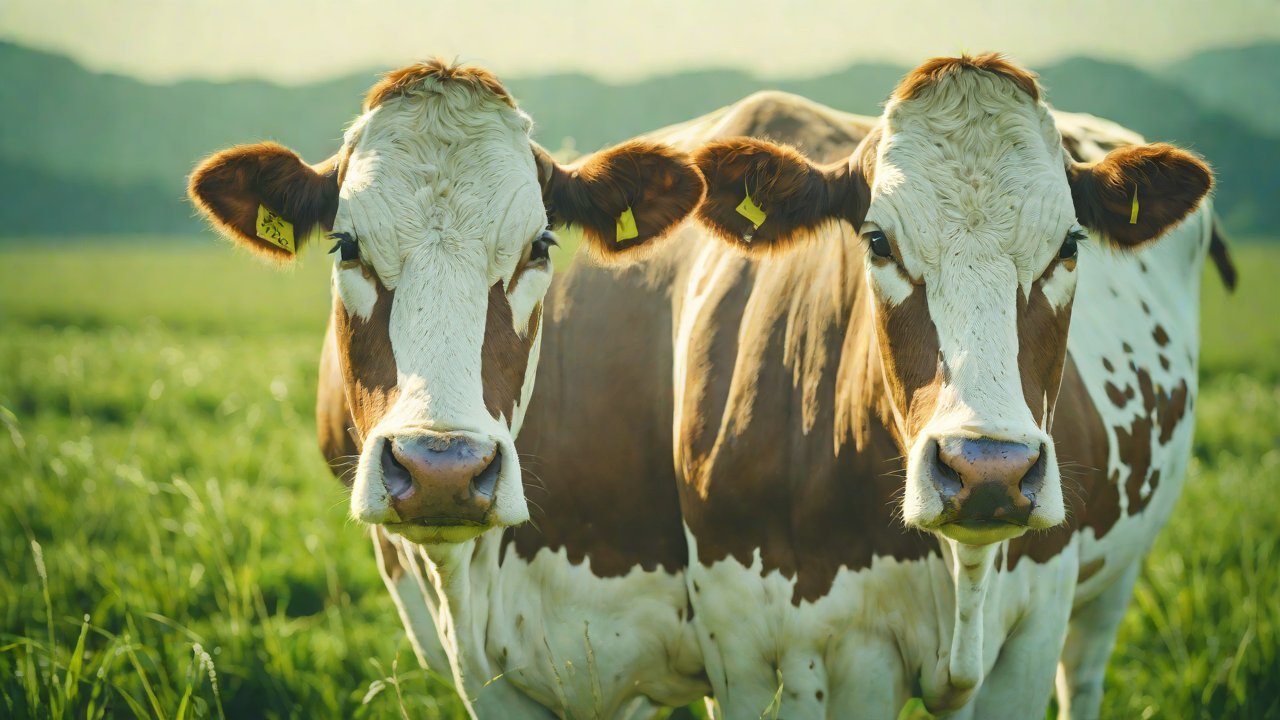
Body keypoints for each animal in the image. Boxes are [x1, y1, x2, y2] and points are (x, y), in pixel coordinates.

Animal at [672, 55, 1225, 718]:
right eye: (878, 241)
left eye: (1069, 244)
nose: (990, 470)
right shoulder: (779, 653)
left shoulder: (1034, 633)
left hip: (1112, 587)